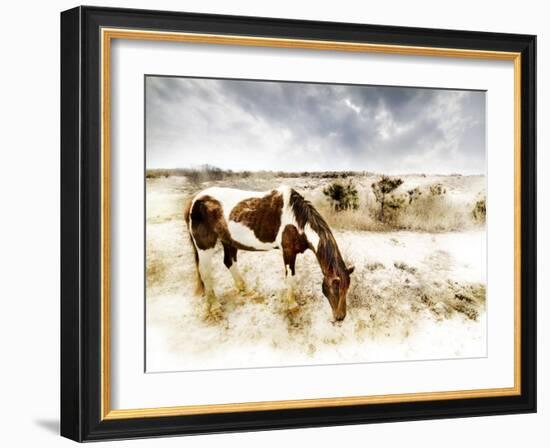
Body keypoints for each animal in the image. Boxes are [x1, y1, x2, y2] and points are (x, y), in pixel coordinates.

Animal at [183, 186, 356, 322]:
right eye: (335, 288)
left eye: (347, 288)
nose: (340, 317)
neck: (296, 221)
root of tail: (194, 200)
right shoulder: (288, 252)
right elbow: (290, 277)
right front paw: (292, 305)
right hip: (205, 246)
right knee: (205, 273)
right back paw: (215, 307)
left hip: (228, 241)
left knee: (229, 262)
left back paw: (245, 289)